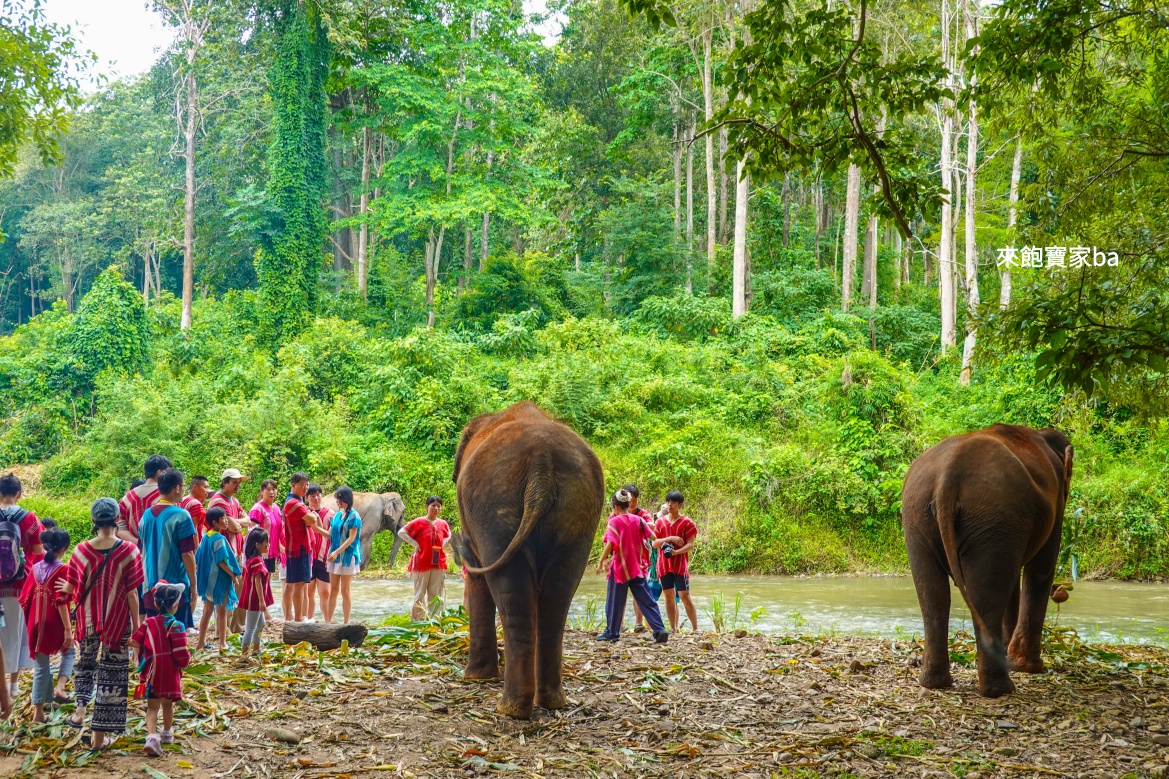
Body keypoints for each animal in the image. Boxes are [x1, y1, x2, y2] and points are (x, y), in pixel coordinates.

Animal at [454, 401, 604, 719]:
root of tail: (541, 467)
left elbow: (477, 578)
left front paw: (474, 679)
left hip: (493, 505)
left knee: (511, 594)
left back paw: (511, 710)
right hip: (580, 510)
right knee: (557, 595)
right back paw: (550, 702)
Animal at [901, 424, 1074, 698]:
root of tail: (948, 475)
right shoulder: (1055, 502)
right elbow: (1041, 570)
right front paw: (1029, 668)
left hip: (917, 517)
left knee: (933, 594)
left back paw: (934, 683)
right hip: (994, 518)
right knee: (987, 596)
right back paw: (1000, 689)